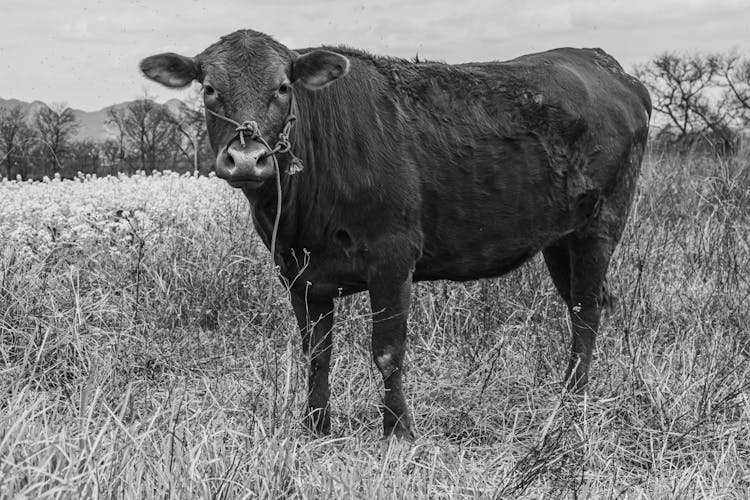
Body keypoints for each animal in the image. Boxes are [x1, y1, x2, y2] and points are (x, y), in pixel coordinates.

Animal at [140, 29, 652, 440]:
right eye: (209, 89)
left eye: (283, 87)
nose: (247, 159)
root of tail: (604, 64)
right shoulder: (298, 273)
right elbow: (317, 354)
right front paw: (315, 427)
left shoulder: (392, 257)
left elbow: (387, 351)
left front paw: (398, 431)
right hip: (559, 240)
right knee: (581, 307)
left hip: (599, 227)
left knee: (587, 313)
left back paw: (571, 401)